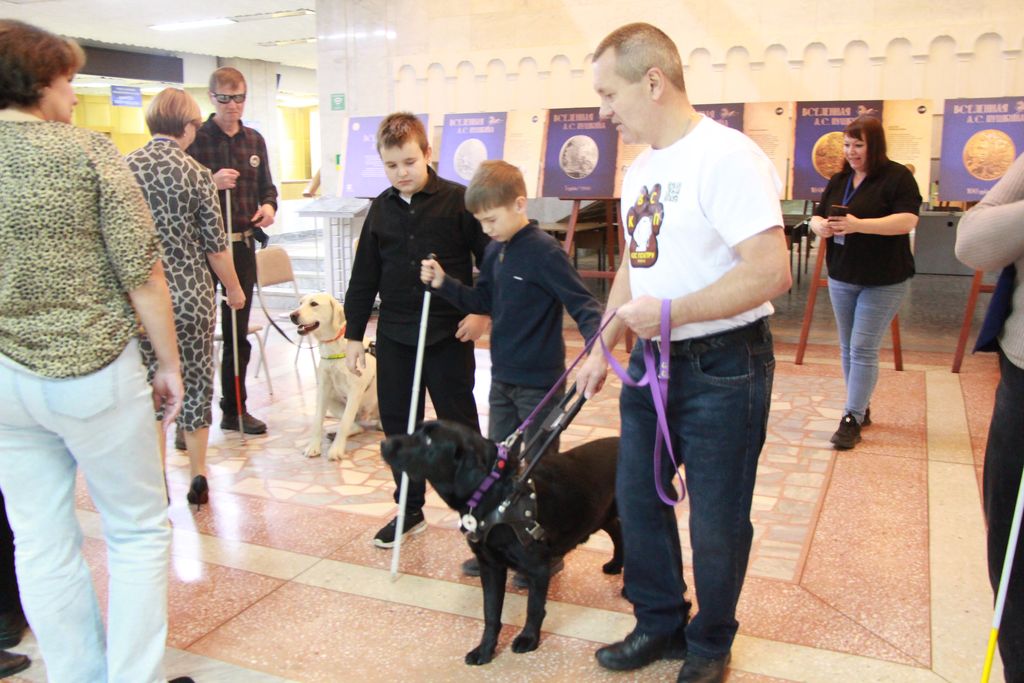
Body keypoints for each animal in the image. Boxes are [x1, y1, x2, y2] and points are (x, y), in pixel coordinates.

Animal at [291, 293, 380, 460]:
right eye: (300, 303)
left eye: (314, 304)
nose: (292, 315)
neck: (333, 347)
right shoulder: (323, 390)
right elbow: (317, 421)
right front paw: (313, 447)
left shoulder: (354, 392)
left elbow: (344, 422)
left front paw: (336, 450)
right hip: (333, 402)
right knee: (357, 426)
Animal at [382, 420, 622, 665]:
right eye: (417, 430)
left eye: (429, 441)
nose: (384, 443)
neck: (496, 497)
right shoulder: (490, 566)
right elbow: (491, 612)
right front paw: (485, 650)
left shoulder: (537, 568)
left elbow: (534, 607)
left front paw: (528, 638)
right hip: (602, 516)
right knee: (617, 531)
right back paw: (615, 565)